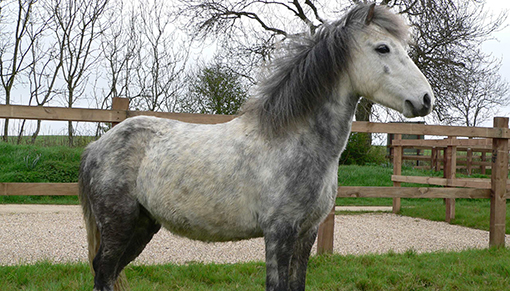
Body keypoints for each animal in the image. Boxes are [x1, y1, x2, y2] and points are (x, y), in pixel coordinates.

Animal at [79, 2, 434, 291]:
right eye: (383, 48)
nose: (426, 99)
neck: (292, 141)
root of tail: (97, 146)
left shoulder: (306, 234)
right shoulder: (279, 234)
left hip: (141, 226)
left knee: (109, 273)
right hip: (119, 225)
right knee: (103, 271)